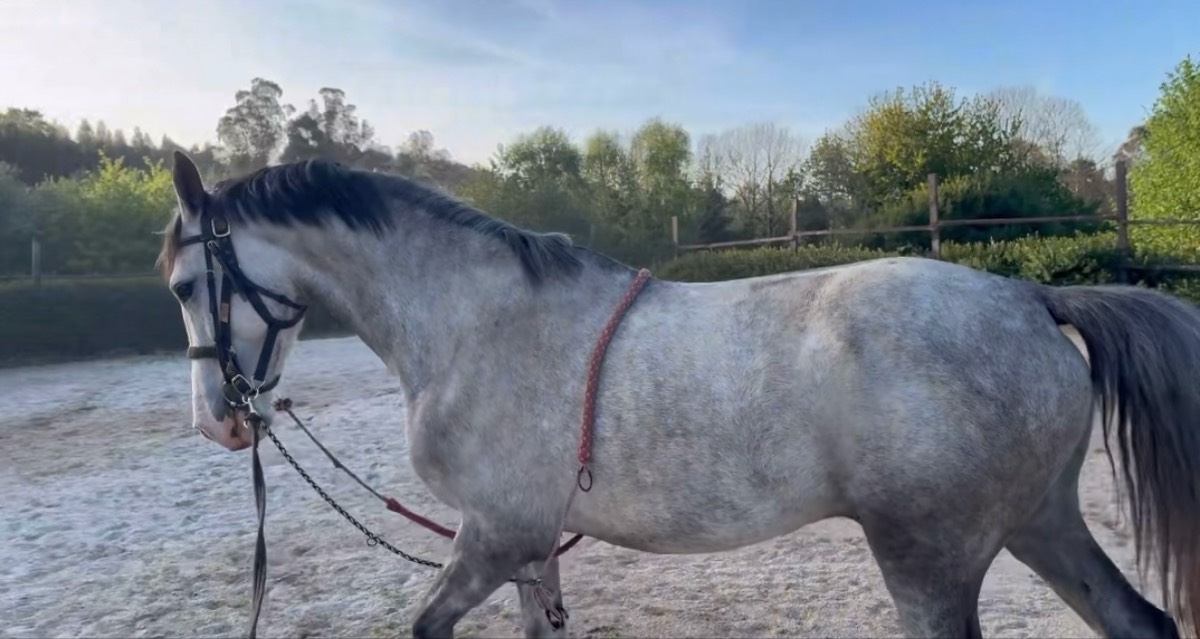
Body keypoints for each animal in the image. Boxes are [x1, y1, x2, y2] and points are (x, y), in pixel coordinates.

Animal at [157, 150, 1200, 639]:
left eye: (184, 283)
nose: (217, 422)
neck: (471, 322)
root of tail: (1027, 295)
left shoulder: (491, 534)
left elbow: (426, 622)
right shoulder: (532, 545)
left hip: (931, 561)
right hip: (1039, 521)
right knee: (1136, 619)